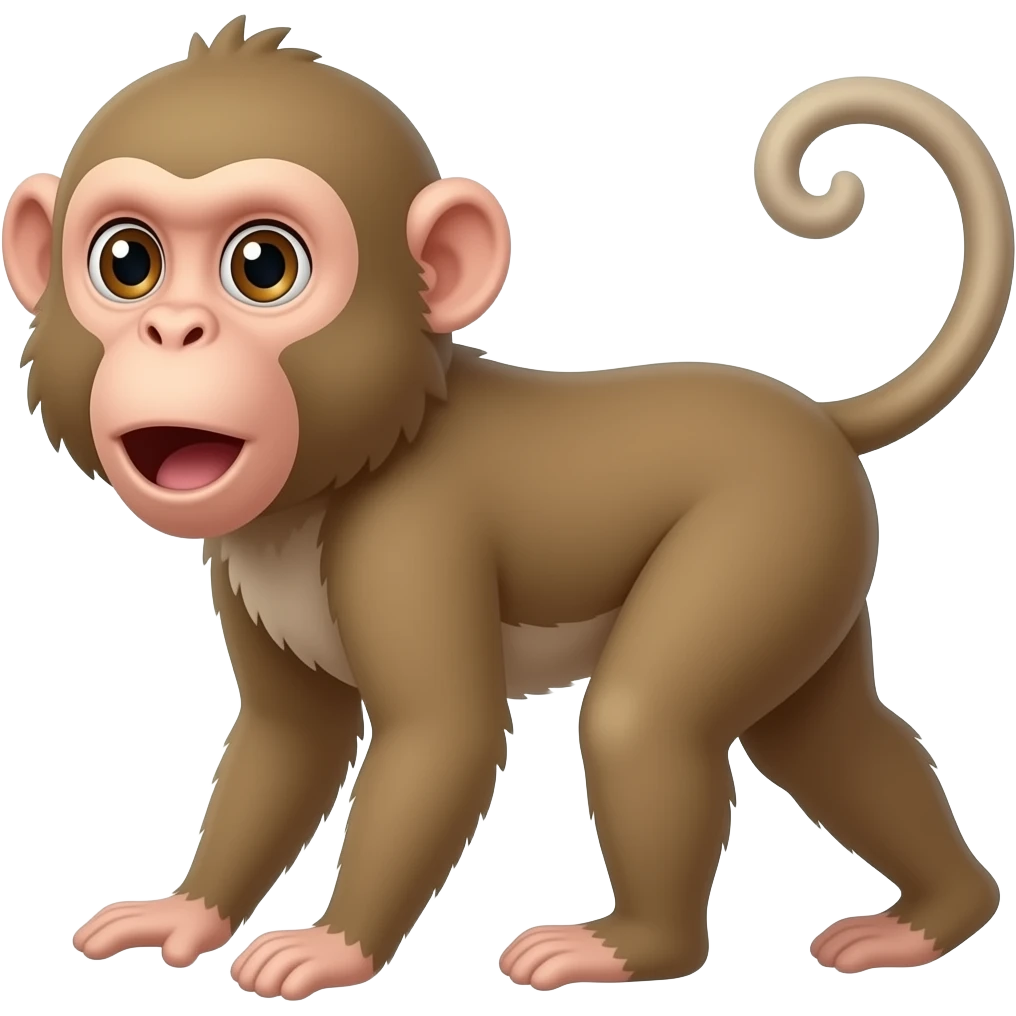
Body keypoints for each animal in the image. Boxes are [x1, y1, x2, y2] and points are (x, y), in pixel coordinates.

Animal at [3, 17, 1009, 998]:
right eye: (127, 262)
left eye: (263, 266)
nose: (173, 329)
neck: (353, 460)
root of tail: (819, 420)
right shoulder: (242, 556)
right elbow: (289, 743)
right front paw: (189, 914)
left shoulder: (410, 536)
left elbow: (441, 736)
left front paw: (334, 948)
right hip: (818, 560)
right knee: (825, 737)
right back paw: (939, 914)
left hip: (771, 531)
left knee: (644, 720)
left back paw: (637, 946)